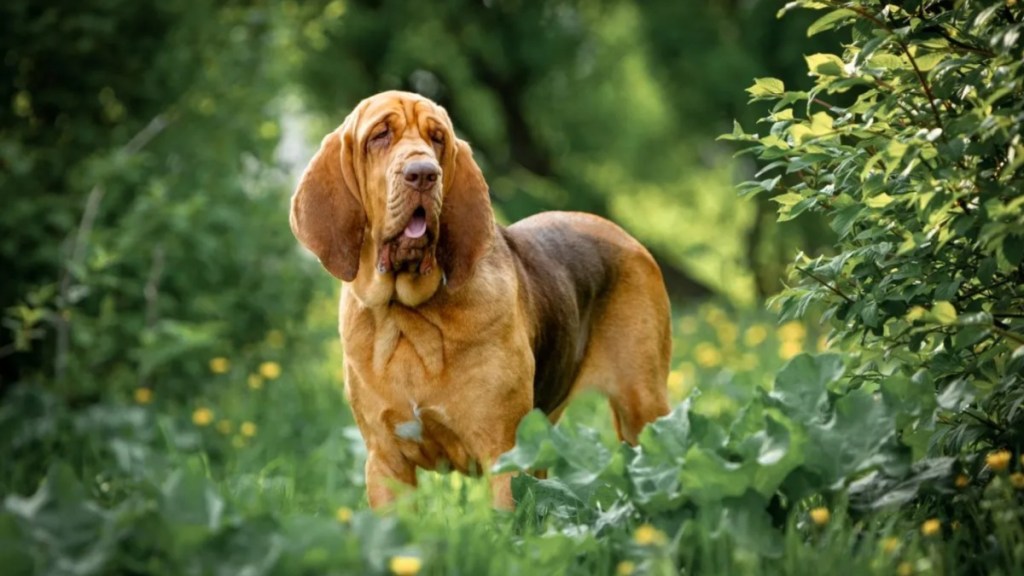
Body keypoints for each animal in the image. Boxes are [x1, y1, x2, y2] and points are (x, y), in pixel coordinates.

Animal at [288, 90, 671, 506]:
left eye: (437, 138)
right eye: (380, 135)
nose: (423, 174)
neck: (408, 316)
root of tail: (627, 237)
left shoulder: (504, 454)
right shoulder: (386, 463)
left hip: (643, 408)